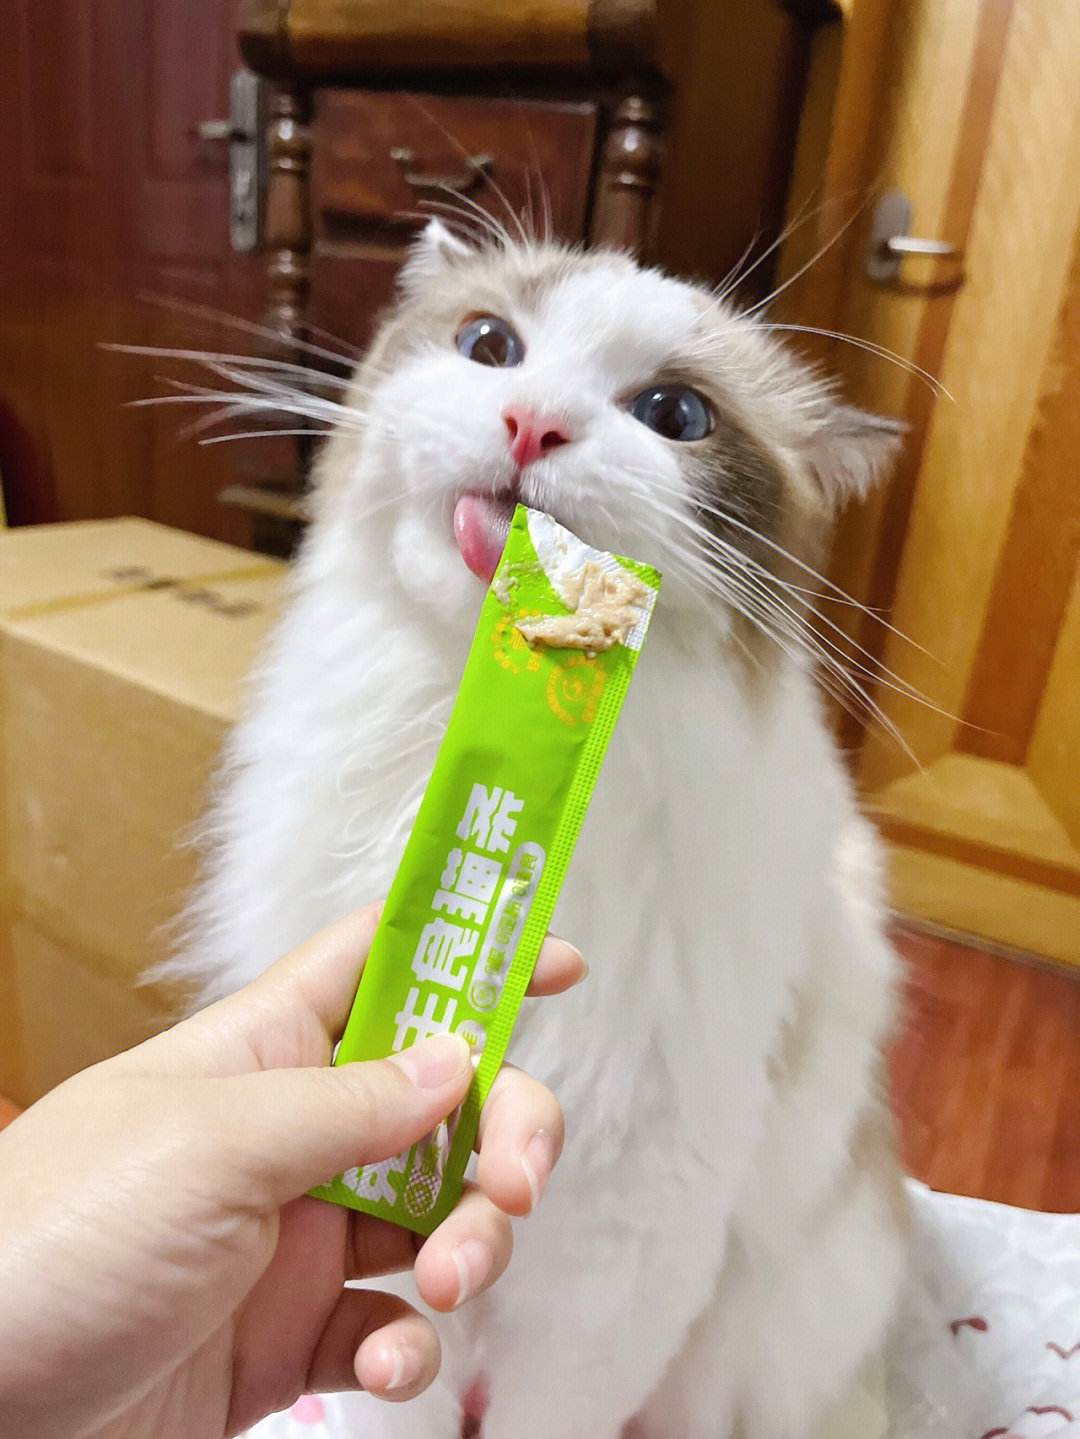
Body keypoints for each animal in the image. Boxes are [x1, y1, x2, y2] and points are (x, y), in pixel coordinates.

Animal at [173, 220, 909, 1438]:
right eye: (489, 346)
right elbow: (396, 1388)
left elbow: (543, 1414)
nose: (532, 422)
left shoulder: (617, 1264)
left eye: (676, 416)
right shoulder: (394, 1254)